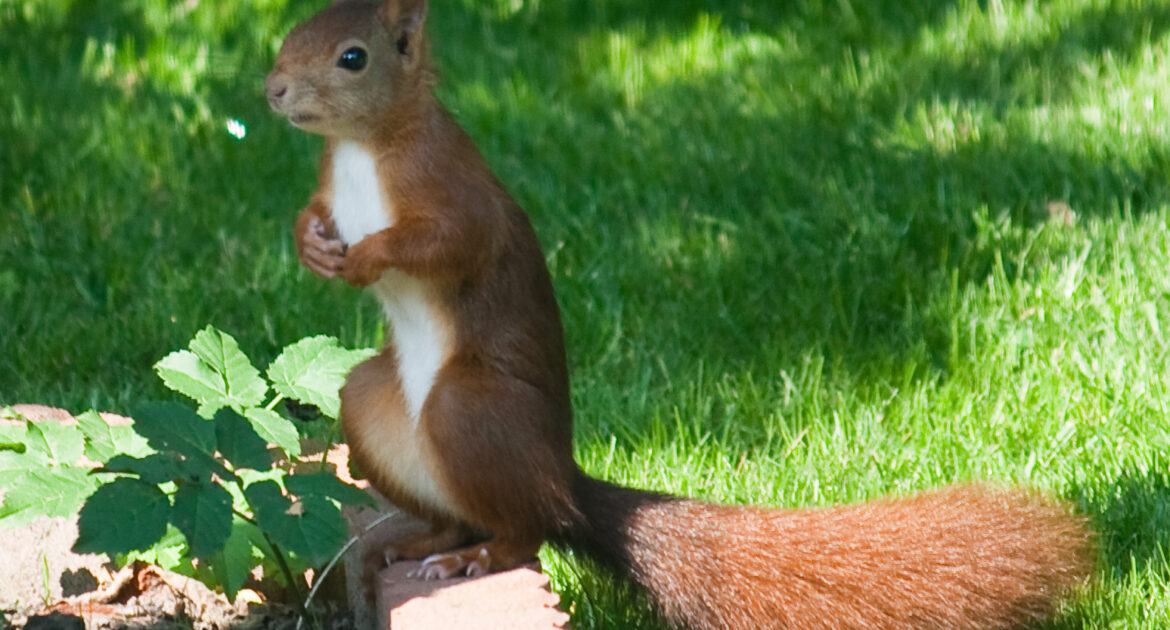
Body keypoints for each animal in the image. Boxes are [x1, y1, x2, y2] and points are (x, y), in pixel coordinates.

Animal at [267, 2, 1095, 622]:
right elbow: (313, 212)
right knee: (459, 507)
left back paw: (475, 557)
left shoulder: (449, 184)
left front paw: (367, 258)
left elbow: (449, 242)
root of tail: (561, 484)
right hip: (371, 402)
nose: (272, 90)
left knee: (523, 534)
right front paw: (310, 241)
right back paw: (418, 544)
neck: (361, 148)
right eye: (292, 32)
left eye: (352, 57)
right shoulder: (332, 183)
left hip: (469, 409)